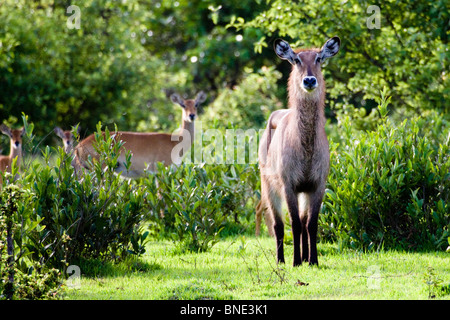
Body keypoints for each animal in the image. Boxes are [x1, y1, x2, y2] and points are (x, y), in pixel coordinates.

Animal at [73, 91, 207, 178]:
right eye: (183, 105)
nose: (191, 115)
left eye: (196, 104)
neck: (175, 142)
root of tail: (79, 146)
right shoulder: (161, 171)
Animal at [256, 36, 342, 266]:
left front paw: (313, 260)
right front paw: (295, 261)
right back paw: (281, 260)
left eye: (319, 58)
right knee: (278, 224)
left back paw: (304, 257)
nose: (309, 81)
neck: (306, 150)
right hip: (268, 185)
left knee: (303, 222)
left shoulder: (317, 184)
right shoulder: (289, 184)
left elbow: (311, 224)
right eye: (296, 60)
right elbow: (293, 223)